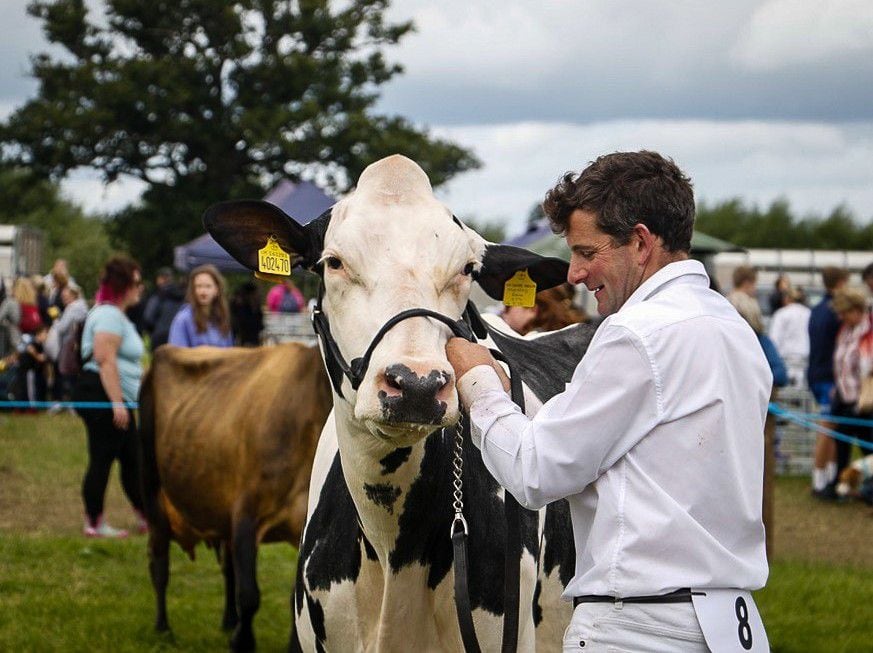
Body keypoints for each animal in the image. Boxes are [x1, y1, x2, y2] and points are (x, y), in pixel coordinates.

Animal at [140, 344, 330, 648]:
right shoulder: (245, 516)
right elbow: (249, 594)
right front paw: (242, 641)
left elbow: (294, 597)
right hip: (152, 488)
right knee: (159, 562)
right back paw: (163, 628)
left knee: (228, 568)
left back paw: (229, 620)